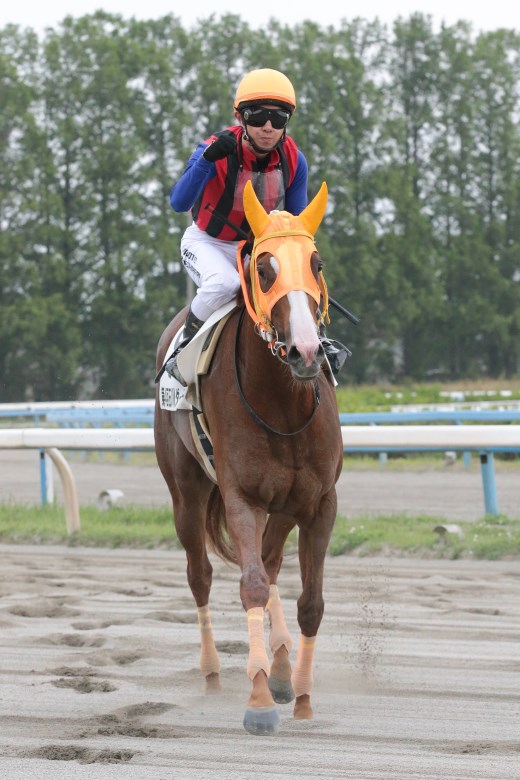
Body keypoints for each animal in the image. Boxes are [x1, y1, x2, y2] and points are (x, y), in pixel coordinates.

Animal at [154, 180, 343, 735]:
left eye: (317, 262)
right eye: (263, 267)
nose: (306, 351)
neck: (284, 405)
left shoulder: (319, 502)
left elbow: (309, 601)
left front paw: (300, 695)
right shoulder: (242, 496)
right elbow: (252, 584)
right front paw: (258, 700)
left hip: (282, 505)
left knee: (274, 561)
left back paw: (280, 668)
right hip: (187, 493)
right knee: (201, 574)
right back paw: (215, 671)